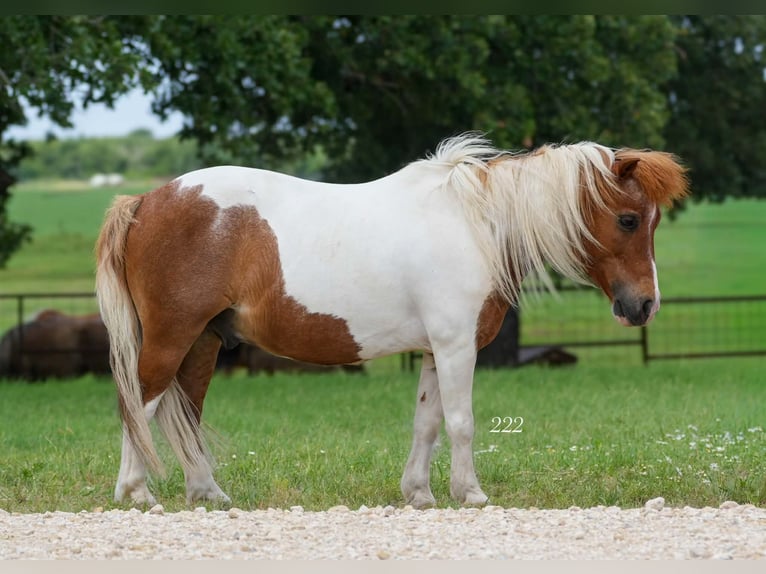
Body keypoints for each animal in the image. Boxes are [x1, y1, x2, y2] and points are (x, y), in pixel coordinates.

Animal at [95, 133, 688, 507]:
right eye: (628, 219)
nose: (644, 305)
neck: (475, 225)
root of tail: (147, 200)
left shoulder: (432, 350)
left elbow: (427, 422)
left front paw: (419, 494)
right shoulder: (455, 347)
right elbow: (461, 421)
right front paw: (471, 493)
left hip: (203, 342)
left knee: (186, 414)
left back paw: (208, 494)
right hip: (172, 338)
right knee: (140, 405)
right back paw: (135, 493)